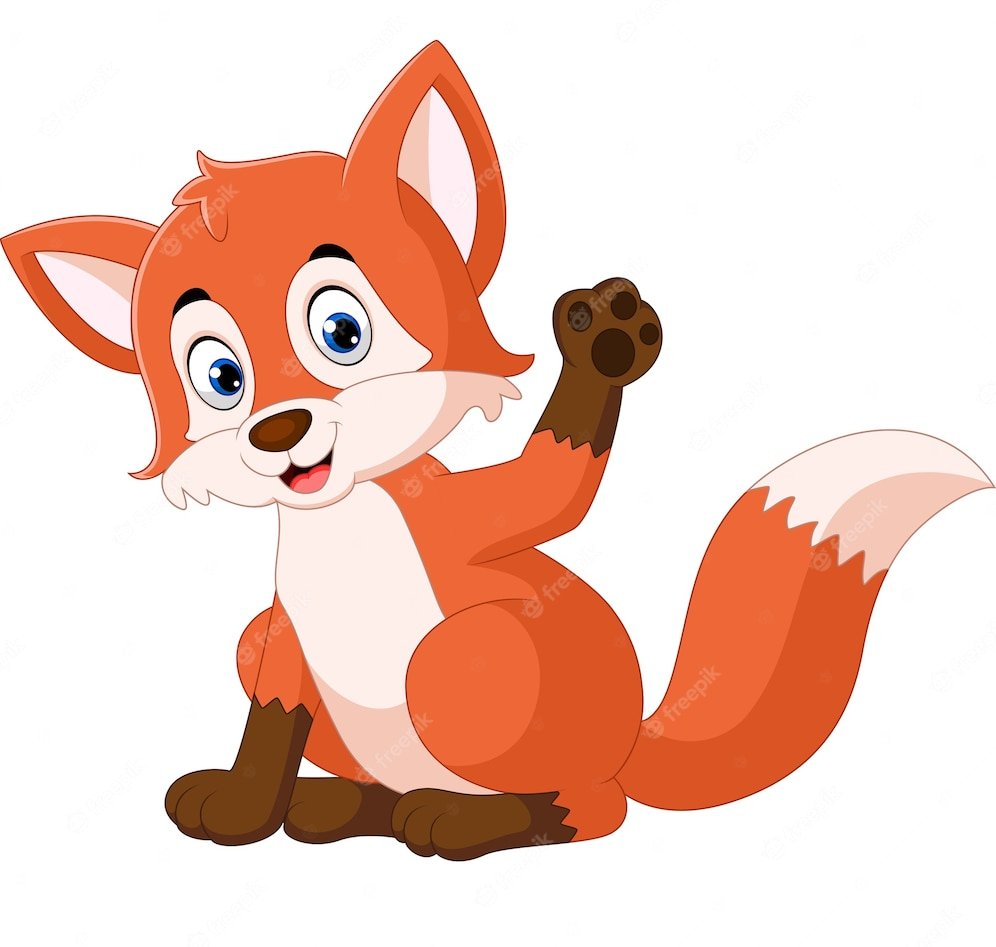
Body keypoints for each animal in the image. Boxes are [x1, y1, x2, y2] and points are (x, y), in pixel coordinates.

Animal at [3, 40, 991, 861]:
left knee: (586, 804)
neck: (346, 531)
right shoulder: (284, 633)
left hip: (481, 676)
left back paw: (468, 818)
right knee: (344, 738)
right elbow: (271, 709)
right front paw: (247, 807)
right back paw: (344, 805)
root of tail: (631, 738)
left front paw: (603, 348)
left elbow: (552, 486)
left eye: (341, 330)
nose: (279, 431)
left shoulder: (462, 518)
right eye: (219, 375)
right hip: (310, 680)